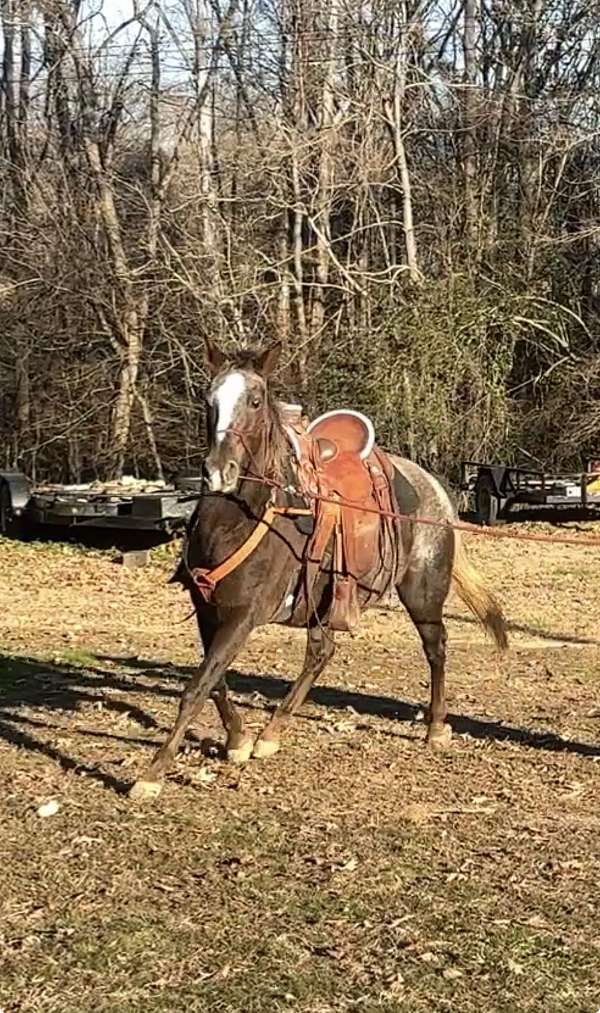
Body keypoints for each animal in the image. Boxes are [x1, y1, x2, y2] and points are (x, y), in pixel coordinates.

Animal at [129, 341, 507, 800]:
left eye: (255, 401)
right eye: (208, 400)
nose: (218, 472)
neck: (238, 519)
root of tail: (435, 490)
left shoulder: (243, 616)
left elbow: (198, 686)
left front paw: (152, 774)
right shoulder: (207, 610)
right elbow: (213, 680)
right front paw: (238, 739)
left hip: (422, 593)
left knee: (435, 647)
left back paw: (435, 727)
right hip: (325, 601)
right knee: (321, 652)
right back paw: (271, 733)